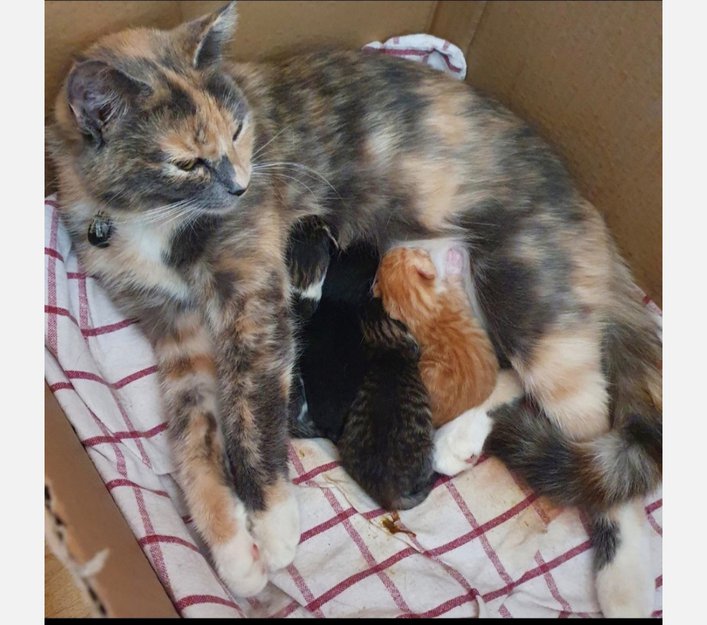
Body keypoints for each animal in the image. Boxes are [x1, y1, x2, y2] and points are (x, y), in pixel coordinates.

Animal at [374, 246, 499, 427]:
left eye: (401, 250)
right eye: (409, 249)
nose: (394, 247)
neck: (418, 310)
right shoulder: (456, 293)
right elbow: (454, 277)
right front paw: (454, 258)